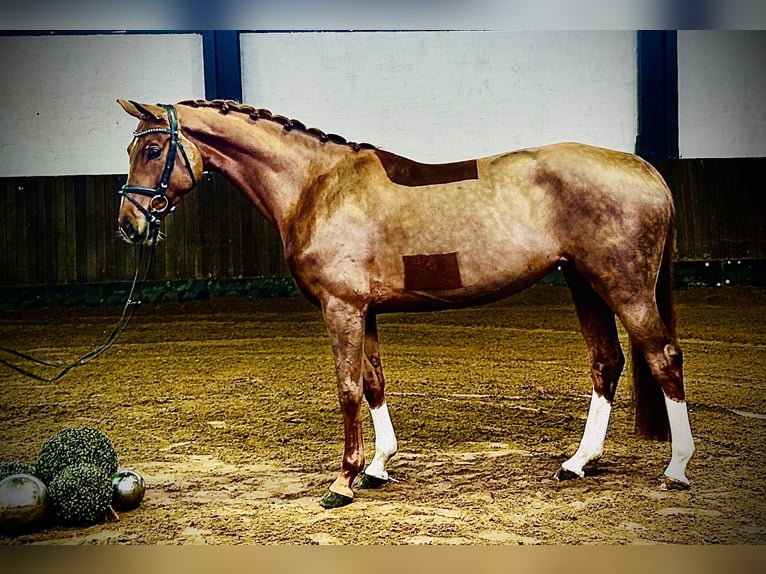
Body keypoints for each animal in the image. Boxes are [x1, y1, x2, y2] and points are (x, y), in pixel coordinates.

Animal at [115, 99, 696, 508]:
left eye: (152, 150)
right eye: (130, 150)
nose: (129, 225)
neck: (317, 186)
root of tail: (644, 168)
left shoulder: (341, 308)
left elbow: (348, 389)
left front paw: (343, 480)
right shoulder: (363, 310)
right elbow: (374, 382)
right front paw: (377, 467)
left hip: (624, 287)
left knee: (663, 358)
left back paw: (676, 468)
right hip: (584, 283)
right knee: (608, 363)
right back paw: (579, 462)